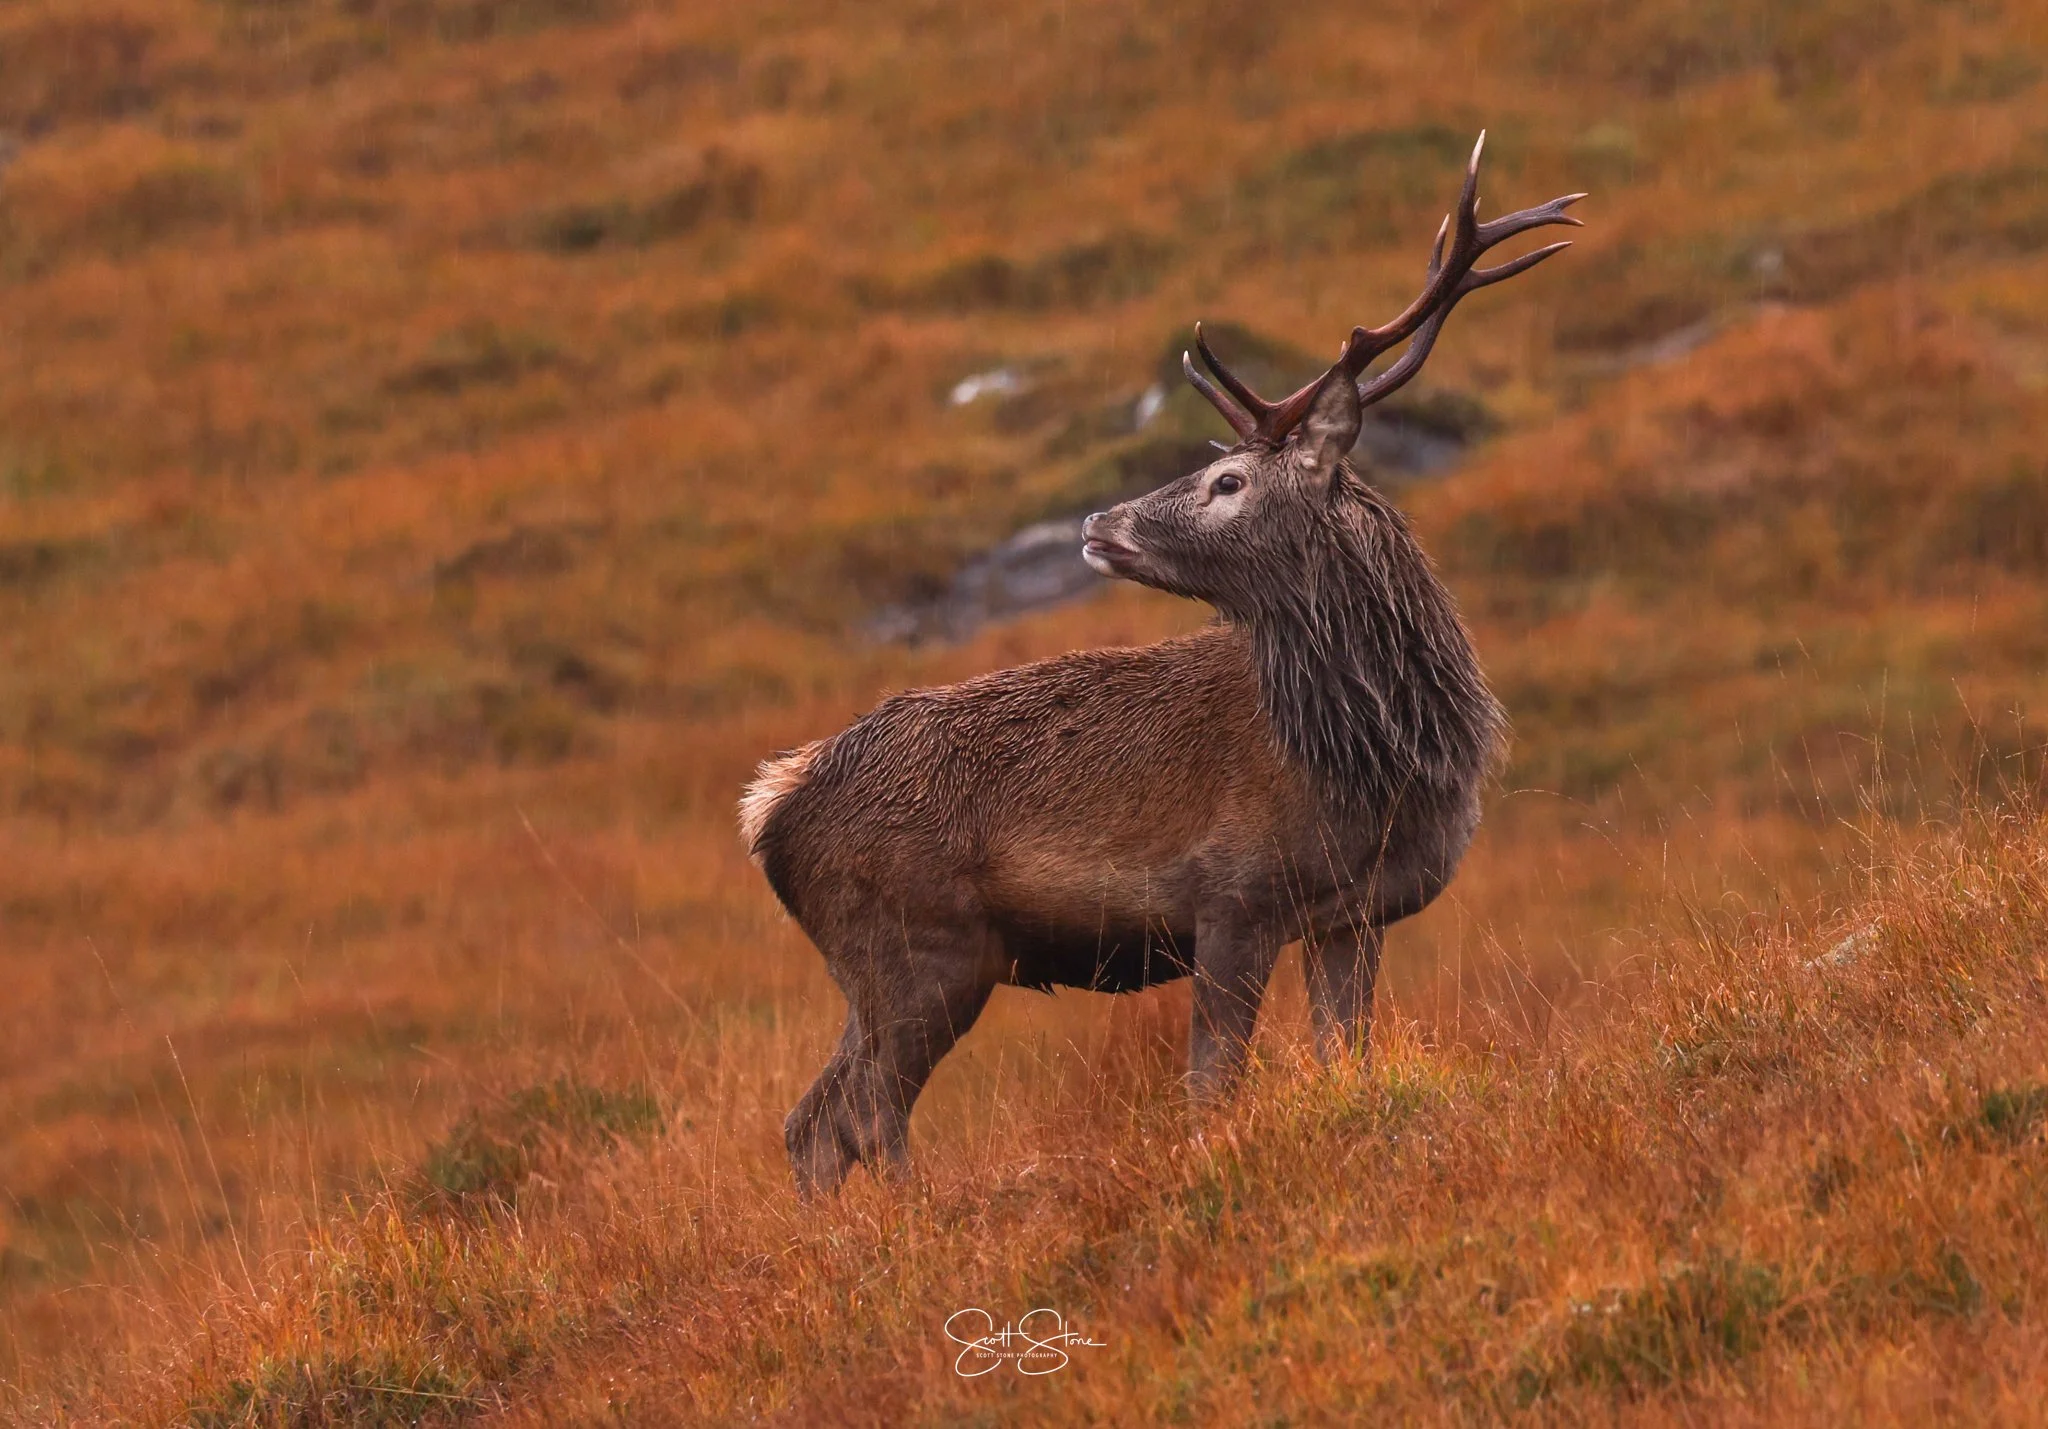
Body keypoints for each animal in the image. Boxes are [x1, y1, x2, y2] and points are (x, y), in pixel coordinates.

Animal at [741, 135, 1582, 1195]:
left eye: (1228, 478)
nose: (1099, 522)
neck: (1383, 760)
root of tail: (769, 809)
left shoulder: (1353, 915)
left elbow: (1343, 1059)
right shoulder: (1232, 897)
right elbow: (1210, 1089)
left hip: (889, 964)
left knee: (815, 1117)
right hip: (916, 945)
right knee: (860, 1112)